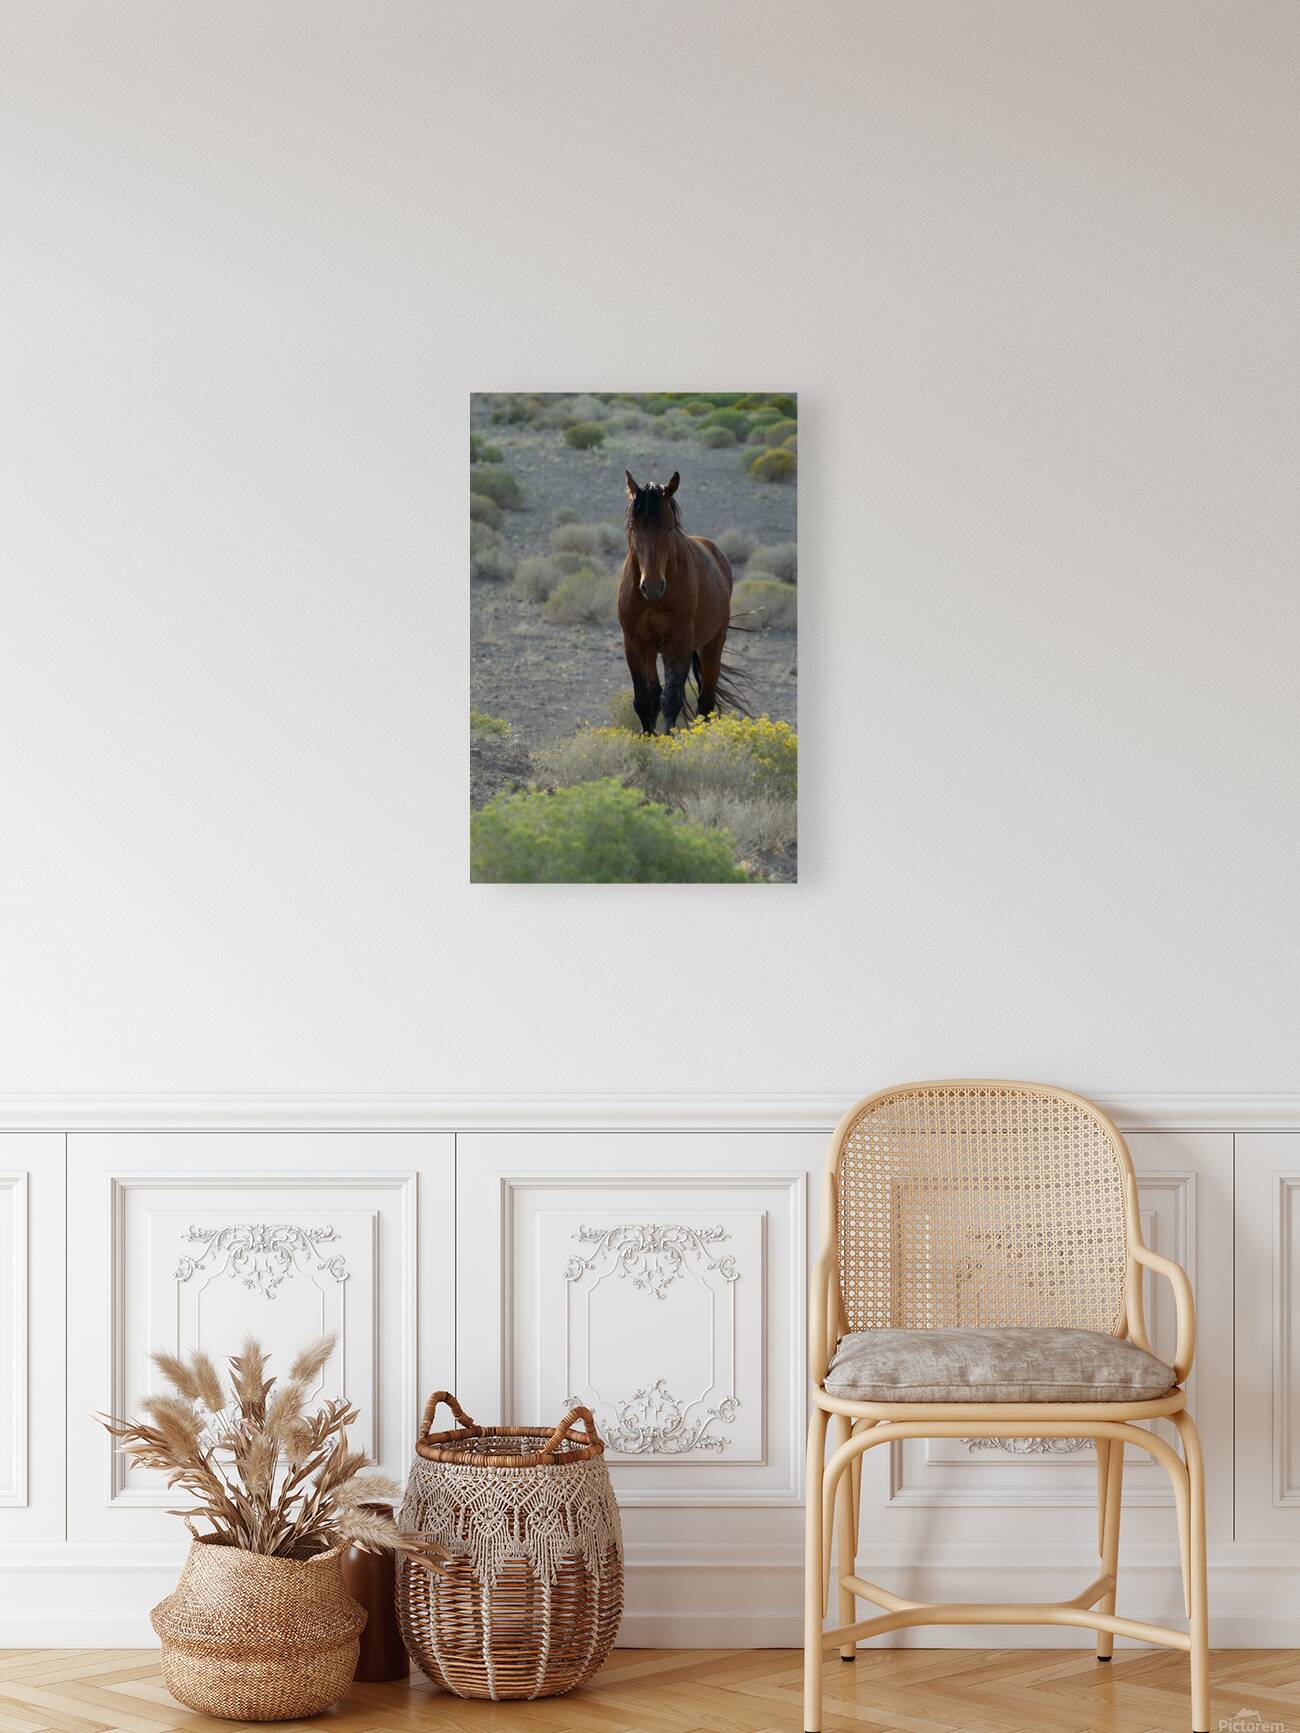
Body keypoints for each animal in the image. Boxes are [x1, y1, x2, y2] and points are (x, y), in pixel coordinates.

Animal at [617, 469, 748, 734]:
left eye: (669, 528)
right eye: (634, 527)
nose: (652, 586)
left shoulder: (679, 645)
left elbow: (672, 700)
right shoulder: (634, 644)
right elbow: (644, 701)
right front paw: (649, 739)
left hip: (712, 646)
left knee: (706, 701)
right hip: (652, 651)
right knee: (656, 694)